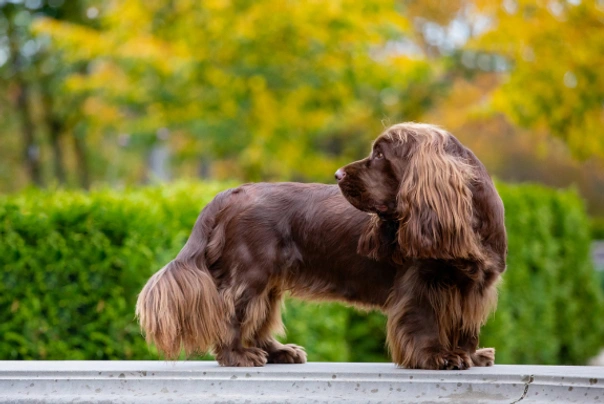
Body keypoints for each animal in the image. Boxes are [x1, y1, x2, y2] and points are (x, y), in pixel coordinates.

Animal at [136, 122, 504, 370]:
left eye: (380, 155)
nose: (338, 174)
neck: (469, 221)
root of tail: (231, 192)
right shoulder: (421, 284)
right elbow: (424, 321)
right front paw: (438, 356)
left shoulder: (475, 288)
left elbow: (465, 328)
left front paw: (470, 354)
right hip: (249, 273)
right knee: (234, 314)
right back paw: (239, 355)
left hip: (269, 280)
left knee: (259, 317)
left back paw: (278, 352)